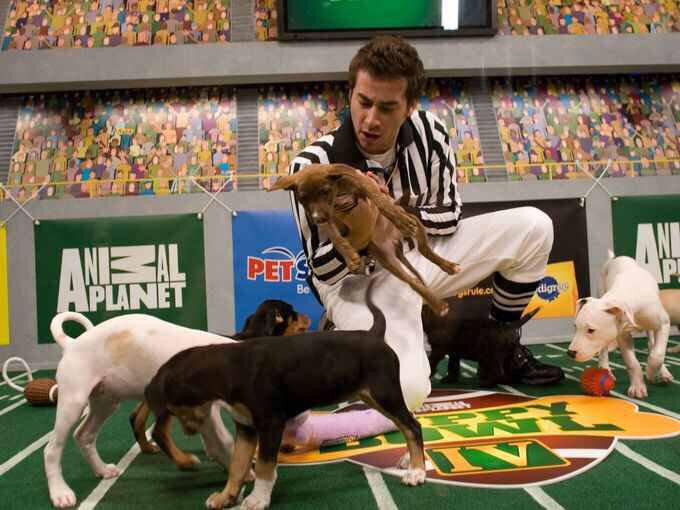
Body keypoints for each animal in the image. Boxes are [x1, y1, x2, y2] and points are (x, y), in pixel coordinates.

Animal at [45, 312, 242, 508]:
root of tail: (71, 344)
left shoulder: (206, 414)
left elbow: (219, 443)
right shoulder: (206, 411)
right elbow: (223, 441)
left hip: (105, 403)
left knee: (84, 435)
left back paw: (102, 469)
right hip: (73, 404)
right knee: (52, 450)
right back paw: (60, 492)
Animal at [270, 163, 460, 316]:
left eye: (325, 191)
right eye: (302, 198)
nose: (316, 219)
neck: (339, 193)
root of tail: (394, 242)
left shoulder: (365, 184)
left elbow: (380, 200)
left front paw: (399, 219)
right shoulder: (330, 218)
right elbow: (337, 239)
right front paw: (351, 258)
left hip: (417, 224)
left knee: (424, 249)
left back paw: (448, 266)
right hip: (387, 259)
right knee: (413, 281)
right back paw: (437, 304)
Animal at [568, 251, 674, 398]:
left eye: (591, 330)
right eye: (575, 328)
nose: (570, 353)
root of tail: (616, 258)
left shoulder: (663, 323)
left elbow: (657, 354)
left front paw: (652, 372)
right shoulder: (622, 336)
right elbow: (632, 363)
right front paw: (637, 387)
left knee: (652, 343)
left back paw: (662, 372)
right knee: (604, 349)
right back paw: (605, 367)